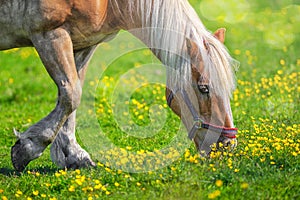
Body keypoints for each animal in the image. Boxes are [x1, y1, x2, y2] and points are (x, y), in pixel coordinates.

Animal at [1, 0, 238, 172]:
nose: (227, 146)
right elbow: (71, 96)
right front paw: (28, 148)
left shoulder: (82, 44)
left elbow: (71, 97)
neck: (109, 4)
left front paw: (74, 155)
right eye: (204, 88)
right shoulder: (49, 34)